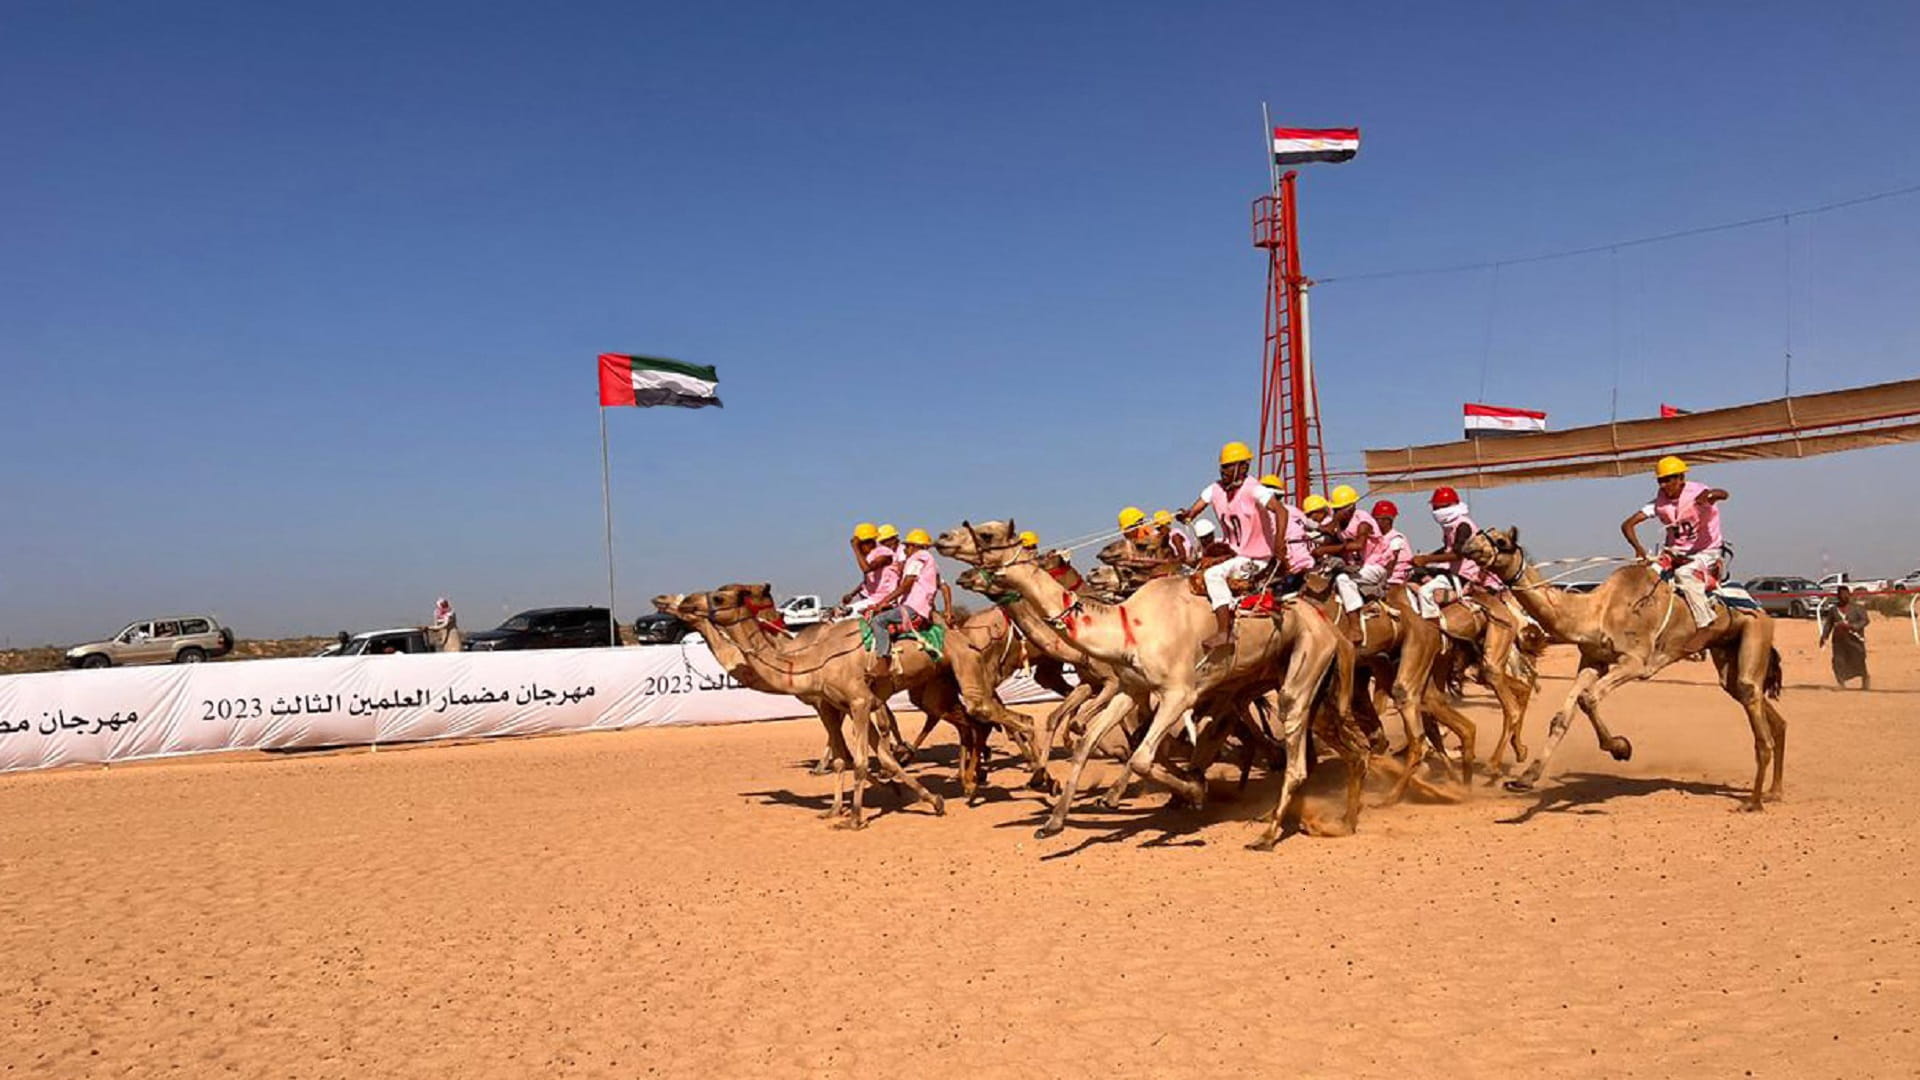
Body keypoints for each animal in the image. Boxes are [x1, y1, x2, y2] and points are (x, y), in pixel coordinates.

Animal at [933, 518, 1367, 845]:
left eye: (987, 535)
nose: (942, 539)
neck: (1127, 626)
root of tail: (1331, 628)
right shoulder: (1130, 688)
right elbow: (1089, 741)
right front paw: (1053, 822)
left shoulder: (1178, 693)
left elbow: (1141, 754)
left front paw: (1192, 793)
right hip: (1281, 679)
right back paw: (1340, 815)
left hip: (1302, 668)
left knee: (1295, 747)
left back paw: (1269, 832)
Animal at [1459, 522, 1789, 807]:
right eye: (1480, 533)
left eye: (1501, 541)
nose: (1469, 546)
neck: (1595, 611)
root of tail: (1759, 605)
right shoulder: (1592, 660)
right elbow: (1562, 717)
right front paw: (1525, 779)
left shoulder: (1636, 662)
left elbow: (1588, 698)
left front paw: (1621, 748)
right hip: (1726, 649)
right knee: (1749, 695)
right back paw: (1774, 792)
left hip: (1755, 630)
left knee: (1750, 697)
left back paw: (1756, 801)